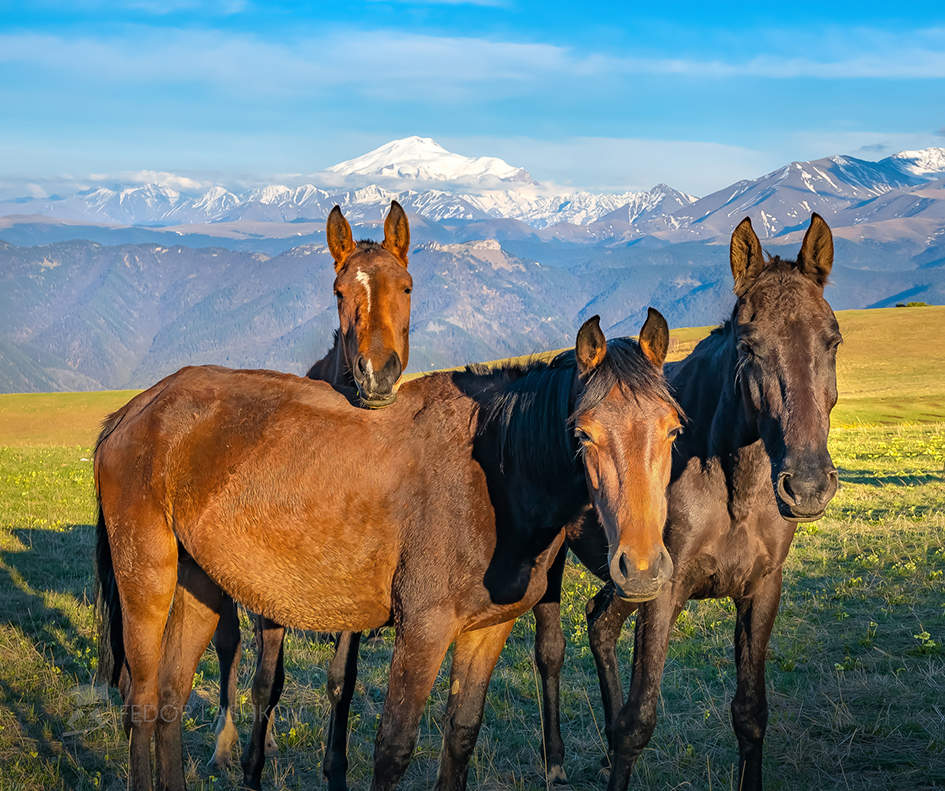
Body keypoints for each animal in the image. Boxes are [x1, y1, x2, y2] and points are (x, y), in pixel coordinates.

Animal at [96, 310, 684, 791]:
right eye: (583, 435)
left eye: (674, 431)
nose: (641, 569)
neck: (492, 475)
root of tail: (134, 410)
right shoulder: (423, 631)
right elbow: (393, 750)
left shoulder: (487, 631)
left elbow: (461, 736)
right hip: (147, 580)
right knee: (143, 701)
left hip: (201, 583)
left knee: (170, 698)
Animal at [208, 201, 412, 772]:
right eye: (339, 292)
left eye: (406, 286)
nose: (377, 375)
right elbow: (265, 681)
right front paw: (251, 754)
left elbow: (342, 680)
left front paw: (334, 765)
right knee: (231, 649)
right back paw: (226, 743)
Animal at [532, 212, 840, 791]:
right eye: (748, 345)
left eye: (832, 340)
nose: (808, 486)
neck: (733, 487)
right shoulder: (663, 591)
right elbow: (638, 721)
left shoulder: (761, 590)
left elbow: (750, 714)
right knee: (551, 650)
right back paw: (555, 762)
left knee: (600, 622)